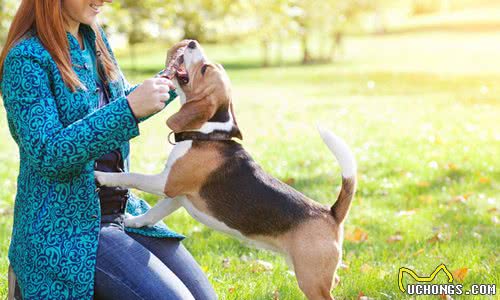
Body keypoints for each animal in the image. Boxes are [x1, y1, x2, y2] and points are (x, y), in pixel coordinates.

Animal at [95, 39, 356, 300]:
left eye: (204, 69)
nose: (192, 42)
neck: (207, 133)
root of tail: (331, 213)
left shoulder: (166, 183)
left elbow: (132, 176)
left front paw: (102, 176)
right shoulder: (177, 196)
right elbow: (153, 213)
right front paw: (133, 222)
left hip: (310, 278)